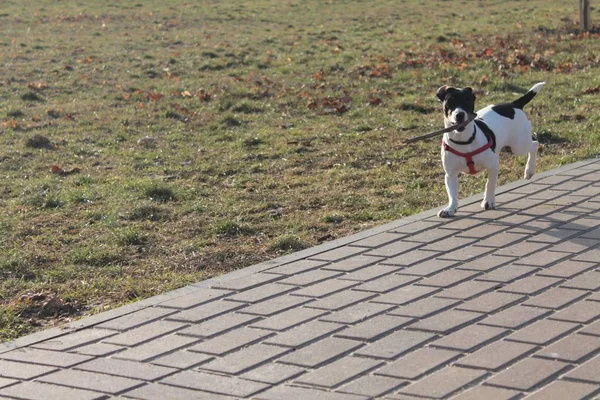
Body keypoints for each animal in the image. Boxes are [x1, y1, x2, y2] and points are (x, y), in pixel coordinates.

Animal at [436, 82, 544, 219]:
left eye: (467, 100)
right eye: (450, 101)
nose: (459, 115)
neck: (464, 141)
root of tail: (513, 104)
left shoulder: (493, 165)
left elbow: (490, 184)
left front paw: (488, 201)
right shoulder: (450, 174)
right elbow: (452, 194)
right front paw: (450, 208)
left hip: (519, 145)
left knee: (535, 144)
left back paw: (529, 169)